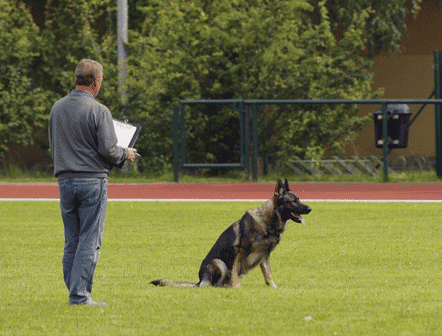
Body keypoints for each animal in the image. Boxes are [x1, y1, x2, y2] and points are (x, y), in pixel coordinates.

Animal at [149, 180, 310, 288]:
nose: (309, 209)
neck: (267, 222)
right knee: (212, 285)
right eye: (293, 201)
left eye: (299, 199)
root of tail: (199, 282)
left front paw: (274, 288)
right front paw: (238, 288)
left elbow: (268, 275)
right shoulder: (241, 251)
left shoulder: (264, 256)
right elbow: (235, 272)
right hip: (218, 263)